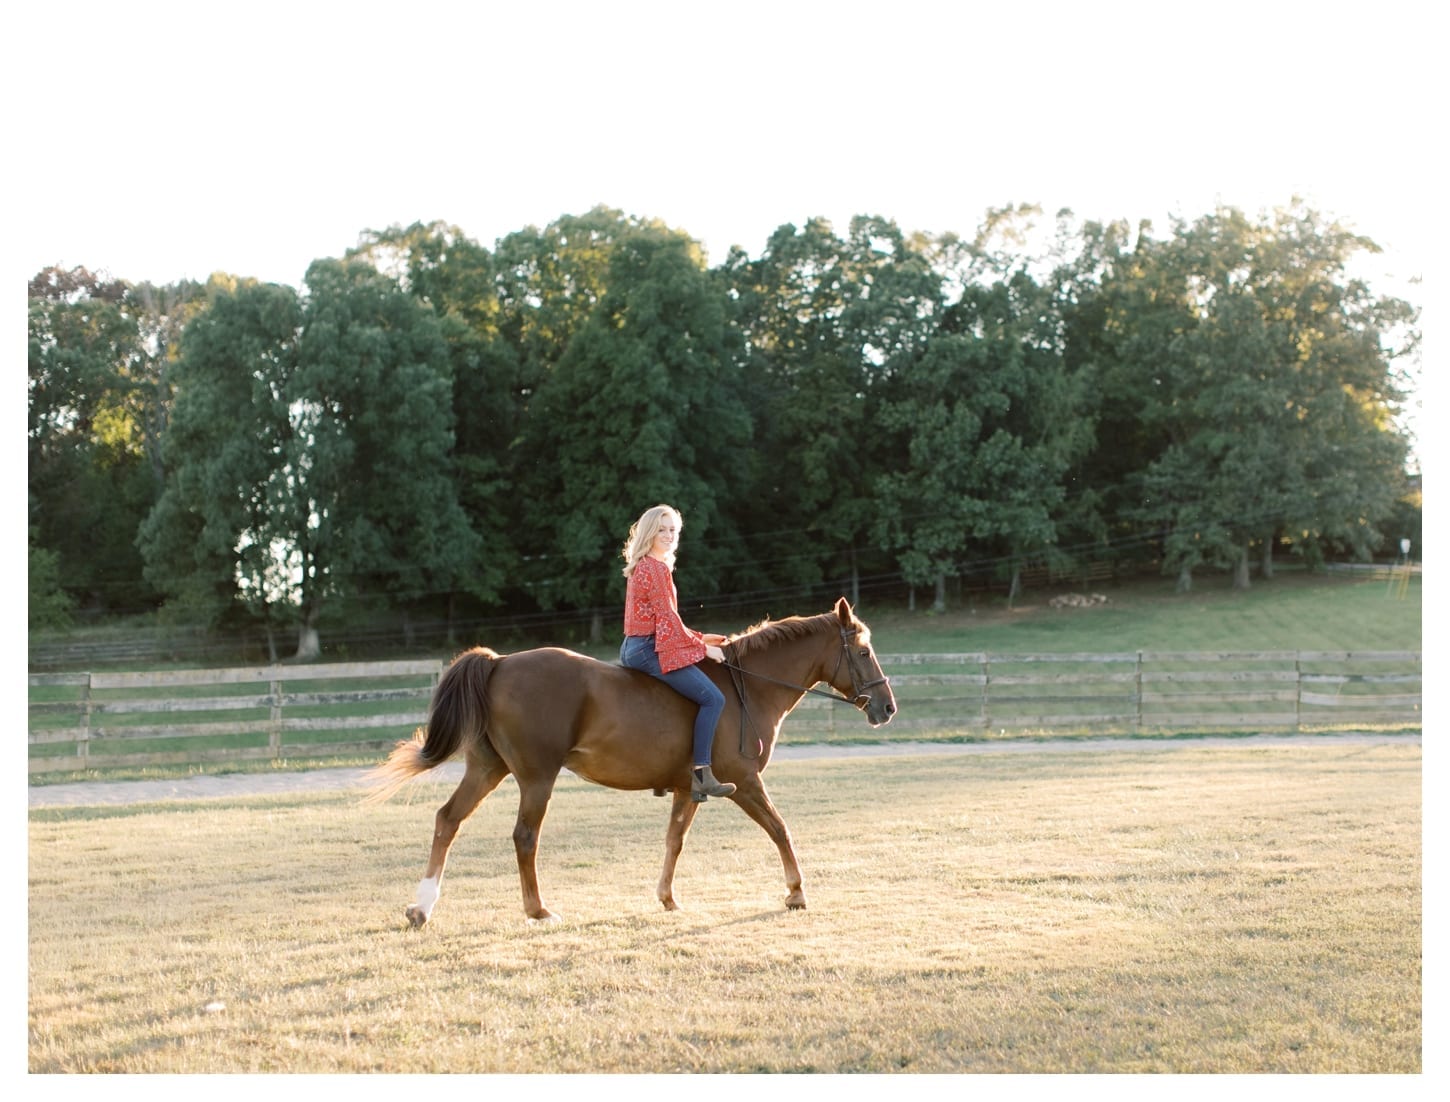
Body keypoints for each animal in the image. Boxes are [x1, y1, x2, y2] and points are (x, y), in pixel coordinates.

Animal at [365, 597, 893, 928]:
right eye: (864, 651)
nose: (887, 708)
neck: (749, 687)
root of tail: (499, 663)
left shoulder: (689, 788)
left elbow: (675, 840)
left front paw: (667, 898)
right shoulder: (744, 783)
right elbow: (781, 829)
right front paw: (796, 892)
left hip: (487, 769)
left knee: (447, 820)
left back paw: (422, 907)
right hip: (536, 777)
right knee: (524, 837)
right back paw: (538, 910)